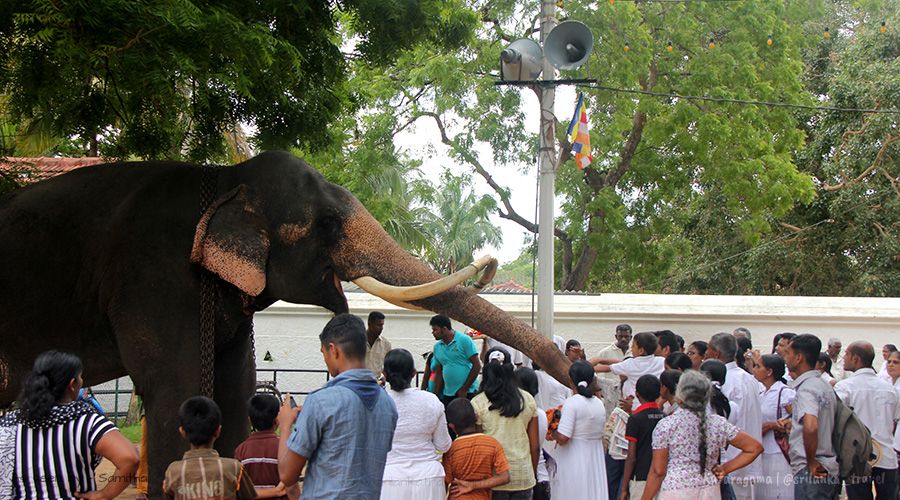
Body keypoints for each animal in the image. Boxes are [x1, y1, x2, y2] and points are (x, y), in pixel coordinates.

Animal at [0, 149, 572, 496]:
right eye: (328, 224)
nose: (572, 372)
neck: (225, 181)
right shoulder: (154, 279)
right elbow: (178, 394)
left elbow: (232, 391)